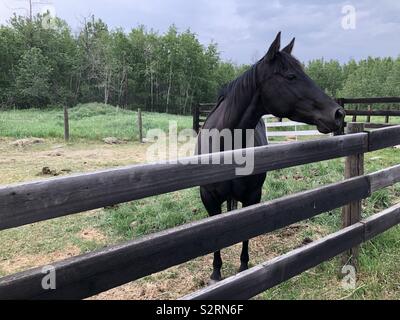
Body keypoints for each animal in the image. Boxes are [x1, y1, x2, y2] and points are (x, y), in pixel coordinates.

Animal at [195, 31, 346, 282]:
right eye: (291, 76)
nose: (338, 114)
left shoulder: (252, 196)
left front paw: (243, 267)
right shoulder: (209, 199)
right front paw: (216, 272)